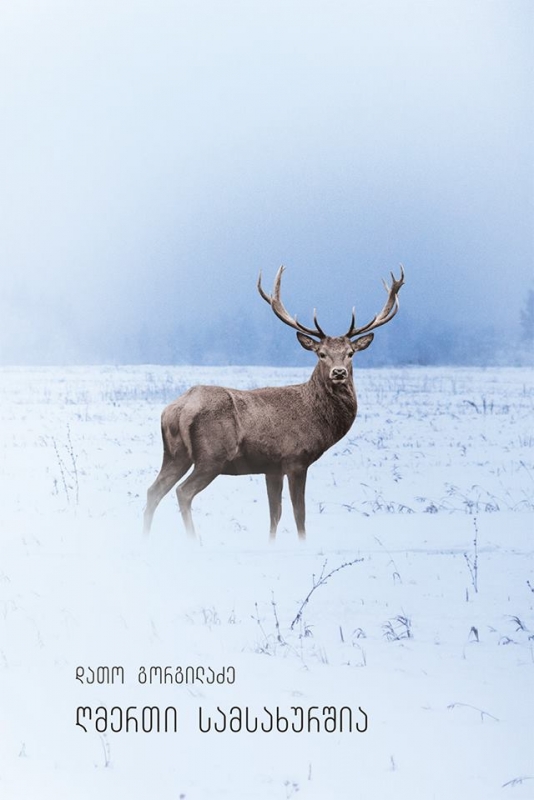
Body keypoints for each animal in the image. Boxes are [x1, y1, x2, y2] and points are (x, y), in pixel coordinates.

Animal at [143, 266, 406, 540]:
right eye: (321, 354)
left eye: (350, 353)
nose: (339, 372)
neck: (317, 419)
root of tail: (177, 409)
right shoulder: (296, 459)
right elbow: (299, 515)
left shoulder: (271, 467)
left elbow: (275, 515)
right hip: (212, 455)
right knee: (183, 492)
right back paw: (195, 541)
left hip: (174, 454)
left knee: (153, 491)